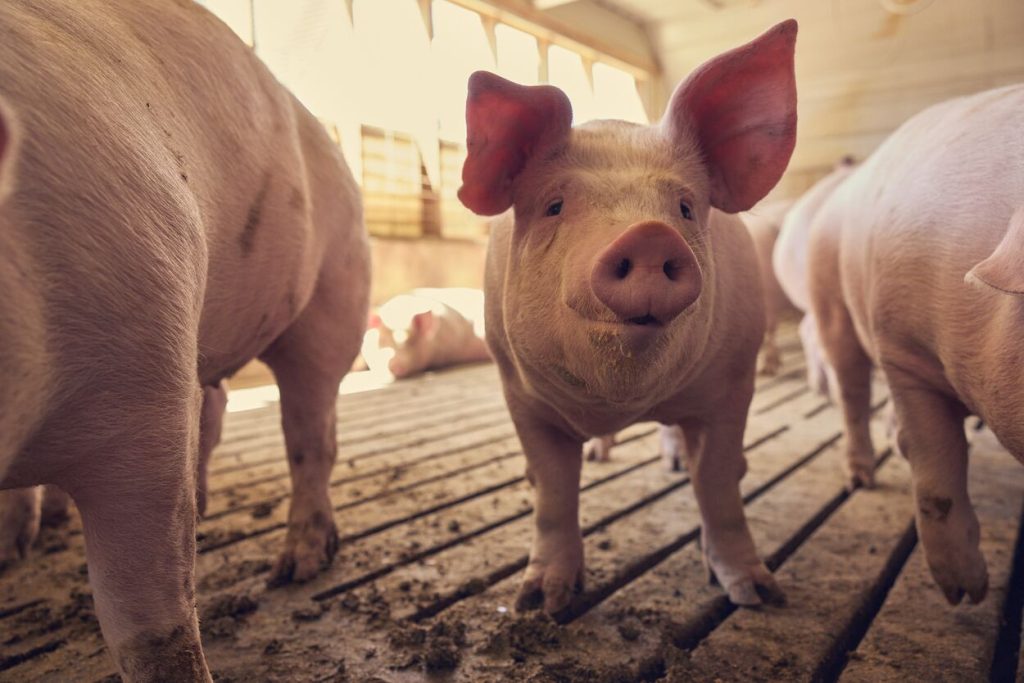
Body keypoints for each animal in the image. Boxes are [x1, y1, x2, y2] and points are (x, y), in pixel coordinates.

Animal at [0, 0, 369, 679]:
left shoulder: (142, 370)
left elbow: (149, 625)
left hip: (335, 292)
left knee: (311, 431)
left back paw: (295, 568)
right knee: (217, 407)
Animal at [459, 20, 799, 612]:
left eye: (684, 208)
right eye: (554, 205)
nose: (648, 234)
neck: (620, 403)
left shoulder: (733, 383)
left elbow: (717, 486)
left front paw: (758, 595)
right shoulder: (520, 396)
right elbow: (553, 492)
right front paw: (541, 603)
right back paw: (599, 456)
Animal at [806, 84, 1024, 605]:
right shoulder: (903, 349)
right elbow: (938, 466)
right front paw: (966, 593)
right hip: (832, 305)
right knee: (851, 394)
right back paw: (862, 477)